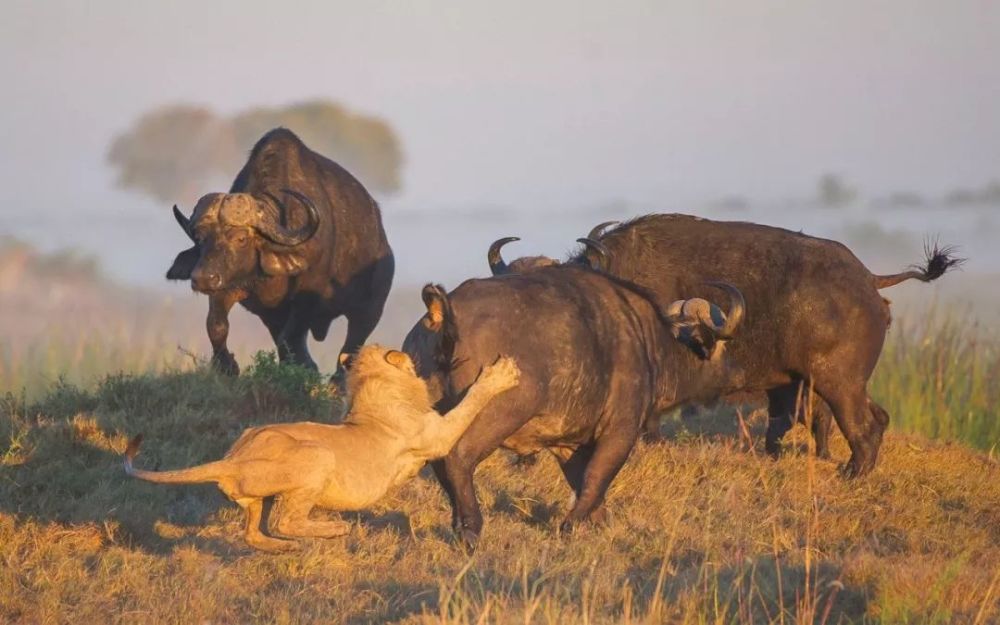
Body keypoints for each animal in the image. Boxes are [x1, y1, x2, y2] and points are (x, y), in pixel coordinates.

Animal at [123, 344, 524, 552]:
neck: (371, 386)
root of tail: (231, 460)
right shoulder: (436, 436)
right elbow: (469, 403)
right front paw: (500, 375)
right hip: (318, 455)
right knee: (286, 520)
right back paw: (334, 530)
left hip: (255, 487)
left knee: (254, 532)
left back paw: (286, 548)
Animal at [167, 128, 394, 376]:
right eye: (200, 238)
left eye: (241, 238)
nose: (203, 279)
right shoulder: (232, 289)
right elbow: (216, 326)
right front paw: (227, 366)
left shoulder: (308, 298)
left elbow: (290, 338)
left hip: (371, 308)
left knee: (352, 344)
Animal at [402, 266, 748, 548]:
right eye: (721, 347)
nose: (737, 376)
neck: (648, 340)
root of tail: (445, 313)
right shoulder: (621, 430)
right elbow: (598, 476)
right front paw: (570, 525)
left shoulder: (567, 444)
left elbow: (582, 482)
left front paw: (598, 523)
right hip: (497, 414)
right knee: (457, 458)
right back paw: (471, 529)